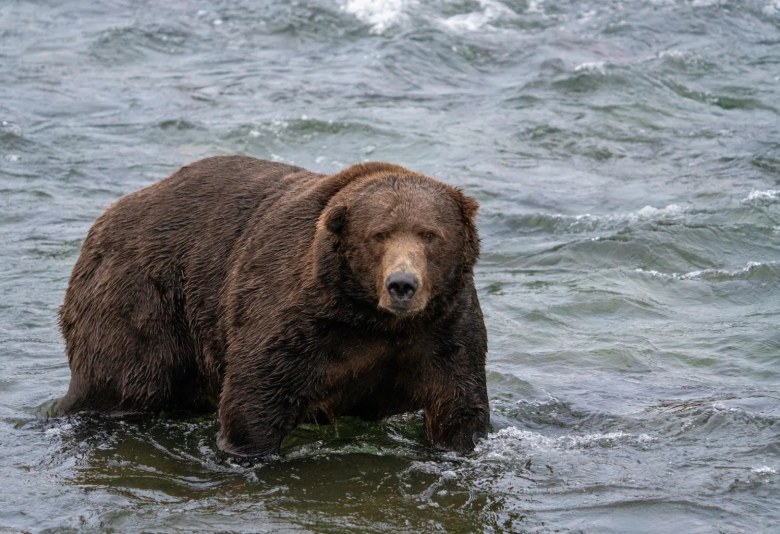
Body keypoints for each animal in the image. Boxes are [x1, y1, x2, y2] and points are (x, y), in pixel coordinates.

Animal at [59, 156, 488, 460]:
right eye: (378, 235)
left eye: (430, 234)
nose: (402, 284)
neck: (372, 320)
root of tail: (108, 215)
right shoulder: (299, 322)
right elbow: (254, 397)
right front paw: (249, 451)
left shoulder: (442, 329)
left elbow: (458, 405)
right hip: (142, 298)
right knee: (120, 381)